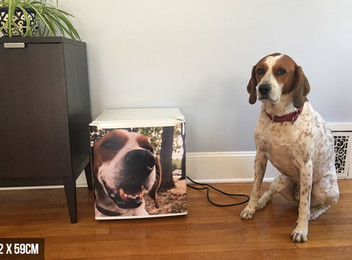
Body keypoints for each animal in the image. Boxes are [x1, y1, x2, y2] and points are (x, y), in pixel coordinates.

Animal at [241, 53, 340, 243]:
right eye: (260, 70)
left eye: (281, 71)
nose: (263, 88)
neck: (280, 117)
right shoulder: (260, 156)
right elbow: (255, 187)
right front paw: (250, 207)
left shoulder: (306, 166)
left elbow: (304, 205)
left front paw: (301, 230)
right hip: (280, 181)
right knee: (269, 193)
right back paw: (261, 202)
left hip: (325, 188)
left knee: (320, 205)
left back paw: (314, 213)